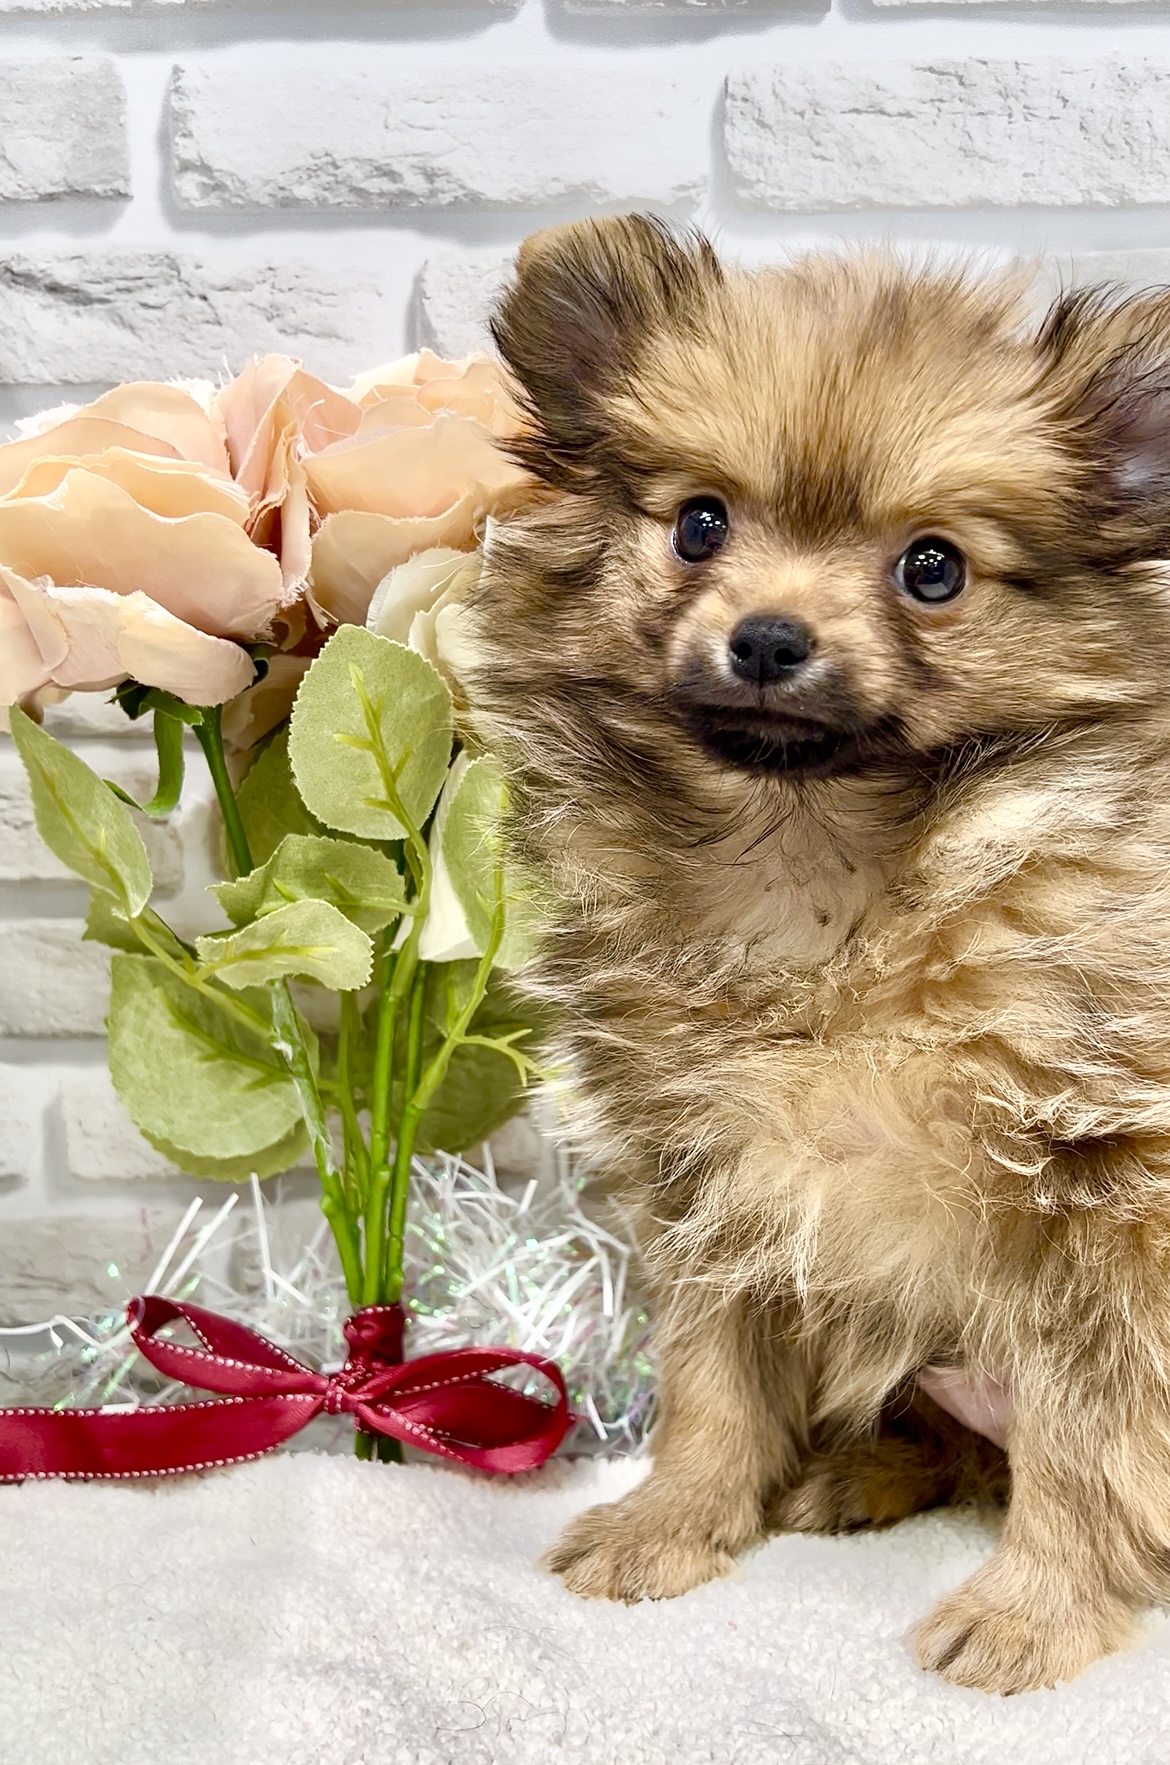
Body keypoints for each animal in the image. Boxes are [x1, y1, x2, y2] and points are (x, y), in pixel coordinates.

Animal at [464, 215, 1170, 1692]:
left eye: (932, 567)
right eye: (699, 524)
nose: (771, 636)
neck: (817, 857)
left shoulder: (1109, 1194)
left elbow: (1081, 1438)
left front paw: (1034, 1611)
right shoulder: (709, 1174)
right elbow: (712, 1380)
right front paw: (676, 1521)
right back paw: (850, 1471)